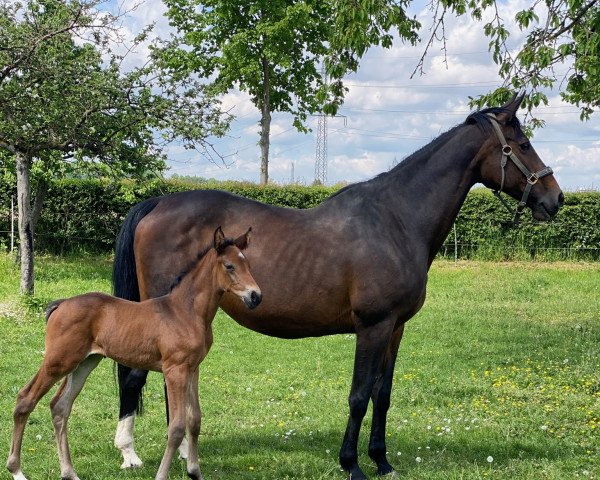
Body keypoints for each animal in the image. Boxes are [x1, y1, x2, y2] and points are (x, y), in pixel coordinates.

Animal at [6, 226, 260, 480]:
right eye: (229, 266)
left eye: (248, 264)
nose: (255, 296)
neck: (186, 311)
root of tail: (61, 304)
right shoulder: (175, 370)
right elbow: (176, 427)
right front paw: (162, 475)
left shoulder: (193, 369)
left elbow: (194, 420)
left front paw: (195, 472)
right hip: (58, 361)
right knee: (25, 399)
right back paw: (17, 470)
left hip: (84, 363)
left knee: (60, 407)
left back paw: (69, 472)